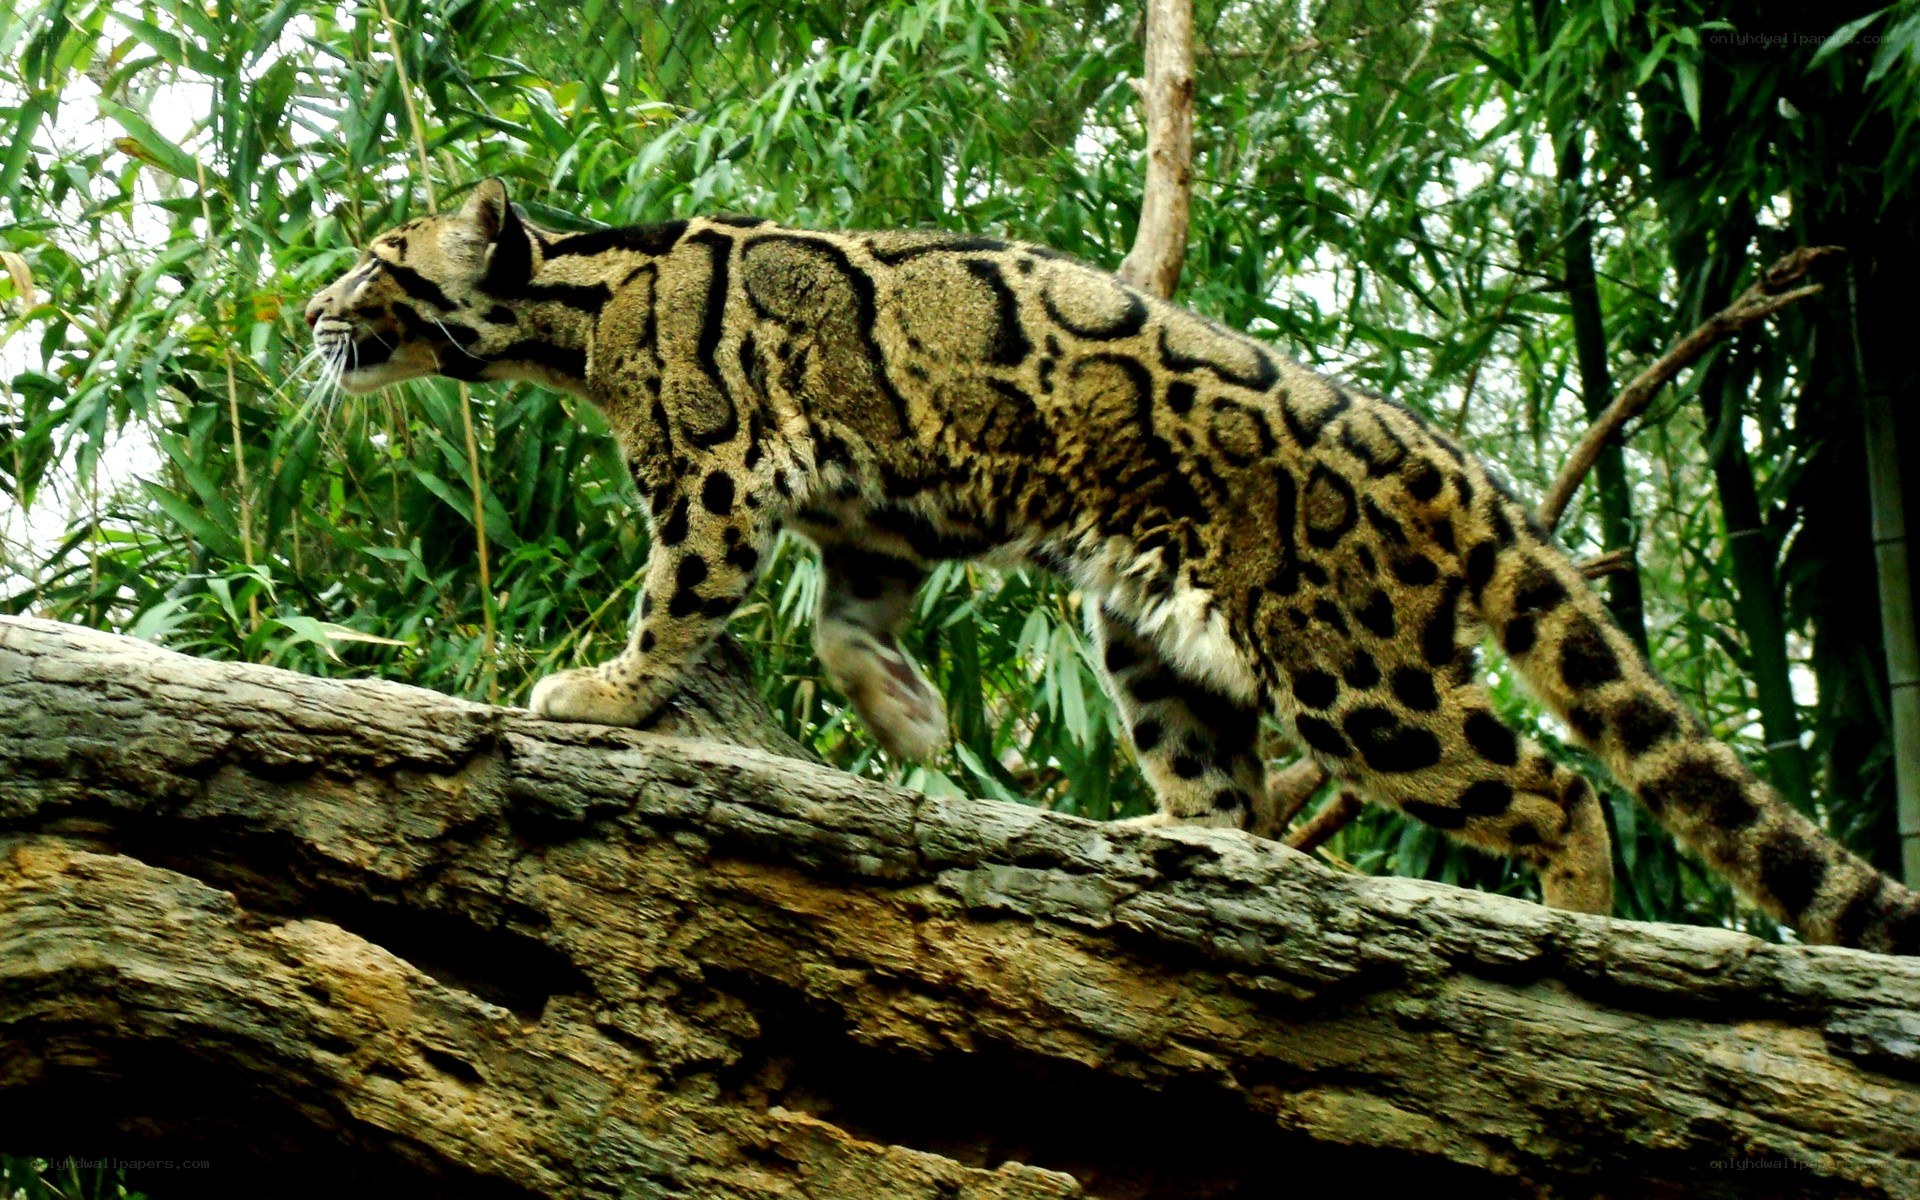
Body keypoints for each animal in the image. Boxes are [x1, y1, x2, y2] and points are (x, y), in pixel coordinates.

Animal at [304, 178, 1920, 955]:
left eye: (377, 262)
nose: (310, 313)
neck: (583, 309)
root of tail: (1450, 460)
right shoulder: (876, 518)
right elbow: (845, 628)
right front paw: (912, 720)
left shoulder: (712, 470)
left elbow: (677, 600)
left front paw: (602, 692)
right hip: (1153, 641)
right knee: (1236, 799)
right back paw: (1176, 840)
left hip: (1354, 673)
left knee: (1556, 786)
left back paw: (1574, 928)